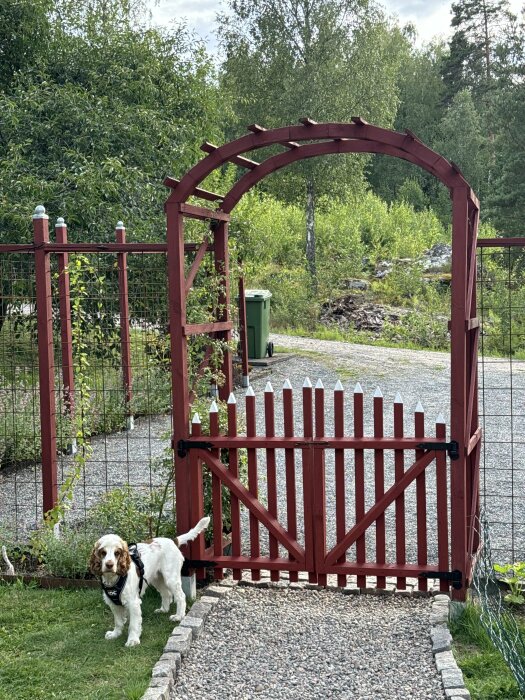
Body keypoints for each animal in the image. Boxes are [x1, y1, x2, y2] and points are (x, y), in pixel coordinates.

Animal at [88, 516, 209, 648]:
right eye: (103, 552)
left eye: (117, 553)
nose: (109, 565)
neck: (114, 578)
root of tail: (173, 541)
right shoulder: (113, 603)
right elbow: (118, 621)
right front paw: (115, 634)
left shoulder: (133, 603)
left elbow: (133, 624)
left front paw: (133, 640)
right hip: (157, 578)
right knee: (166, 594)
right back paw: (163, 609)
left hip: (170, 577)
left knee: (180, 596)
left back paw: (178, 616)